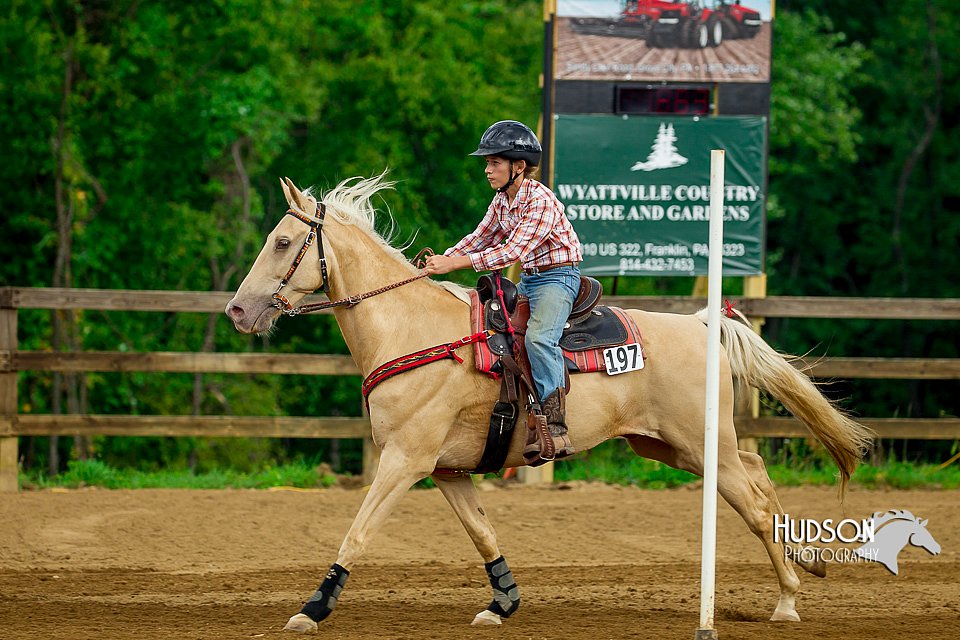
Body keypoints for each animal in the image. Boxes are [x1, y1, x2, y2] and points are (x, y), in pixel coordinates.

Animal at [229, 174, 872, 632]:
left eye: (283, 242)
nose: (237, 310)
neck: (413, 332)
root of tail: (700, 323)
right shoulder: (447, 470)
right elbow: (483, 534)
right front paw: (502, 604)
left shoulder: (404, 461)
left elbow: (358, 532)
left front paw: (312, 608)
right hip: (670, 447)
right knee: (759, 473)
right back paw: (805, 564)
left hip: (699, 445)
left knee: (755, 504)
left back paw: (787, 600)